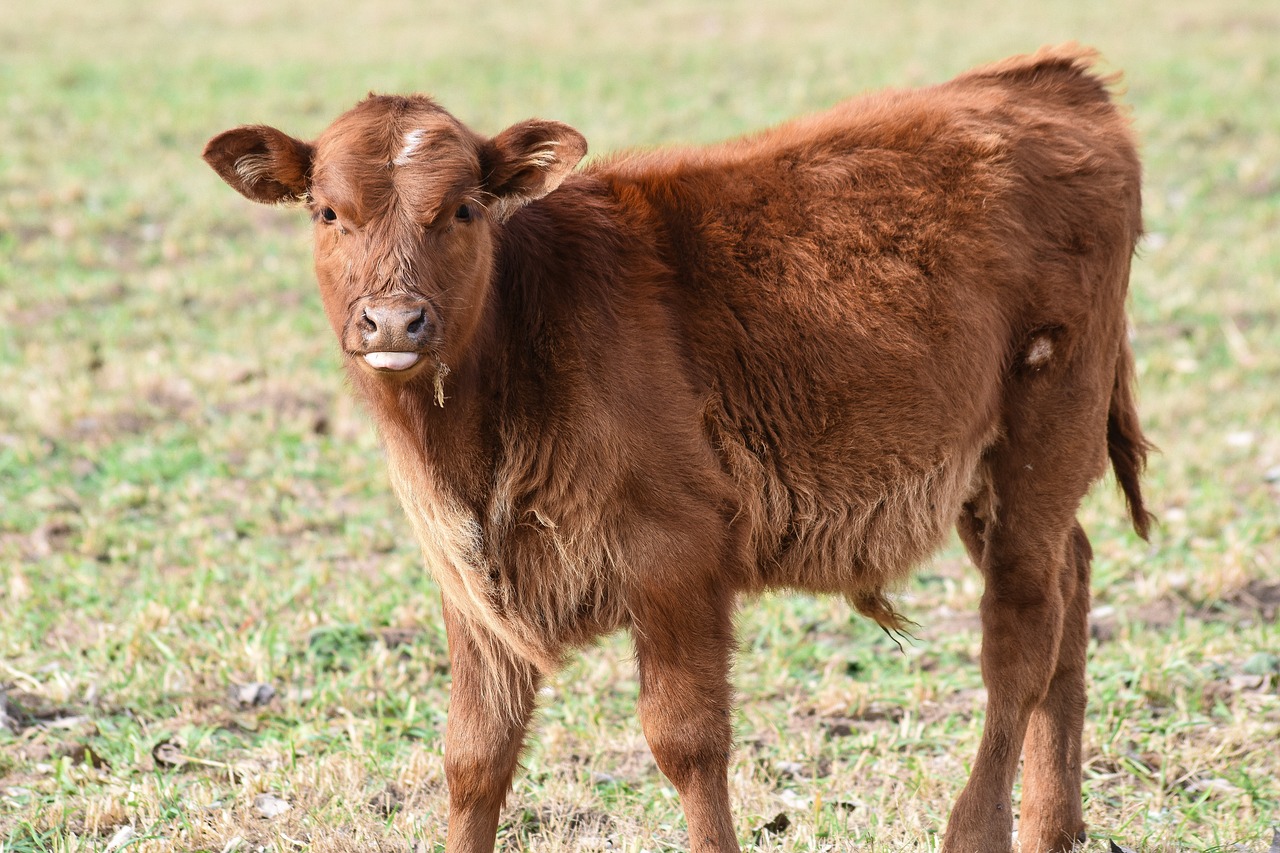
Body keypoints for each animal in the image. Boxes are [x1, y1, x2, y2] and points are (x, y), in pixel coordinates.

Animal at [207, 46, 1152, 850]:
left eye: (465, 208)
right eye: (328, 211)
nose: (395, 321)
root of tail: (1050, 80)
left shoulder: (676, 558)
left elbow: (687, 743)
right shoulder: (471, 583)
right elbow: (474, 759)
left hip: (1045, 433)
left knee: (1019, 639)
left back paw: (979, 826)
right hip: (991, 471)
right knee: (1071, 580)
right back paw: (1053, 825)